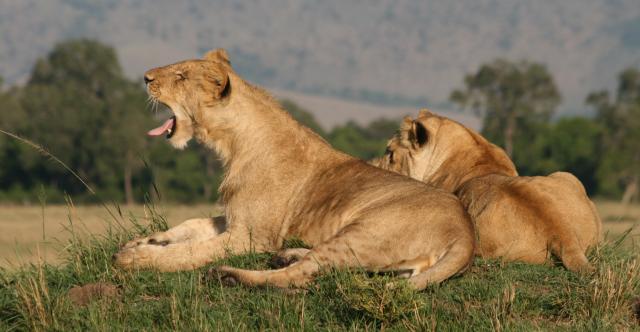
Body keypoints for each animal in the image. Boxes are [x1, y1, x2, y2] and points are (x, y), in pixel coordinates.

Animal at [114, 50, 476, 290]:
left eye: (181, 76)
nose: (145, 77)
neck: (231, 145)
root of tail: (466, 234)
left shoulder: (251, 237)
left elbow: (191, 251)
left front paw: (136, 258)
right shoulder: (235, 218)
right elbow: (192, 224)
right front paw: (145, 241)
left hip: (363, 231)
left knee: (299, 275)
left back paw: (230, 274)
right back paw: (286, 254)